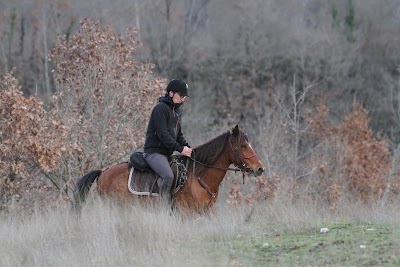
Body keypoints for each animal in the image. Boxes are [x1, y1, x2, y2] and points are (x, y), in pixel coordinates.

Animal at [73, 125, 266, 214]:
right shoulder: (186, 213)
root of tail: (103, 172)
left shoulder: (208, 211)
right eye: (243, 146)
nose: (260, 169)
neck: (199, 177)